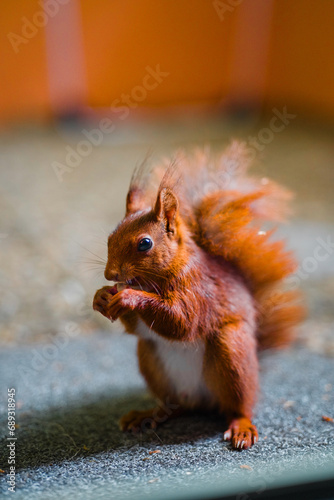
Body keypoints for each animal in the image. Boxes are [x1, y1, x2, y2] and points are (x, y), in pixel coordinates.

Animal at [92, 141, 304, 450]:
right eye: (110, 237)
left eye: (145, 243)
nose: (110, 275)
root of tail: (201, 400)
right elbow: (138, 327)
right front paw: (100, 297)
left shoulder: (199, 290)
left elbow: (182, 321)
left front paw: (130, 297)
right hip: (152, 362)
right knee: (175, 406)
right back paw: (148, 414)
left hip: (232, 353)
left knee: (239, 406)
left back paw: (241, 426)